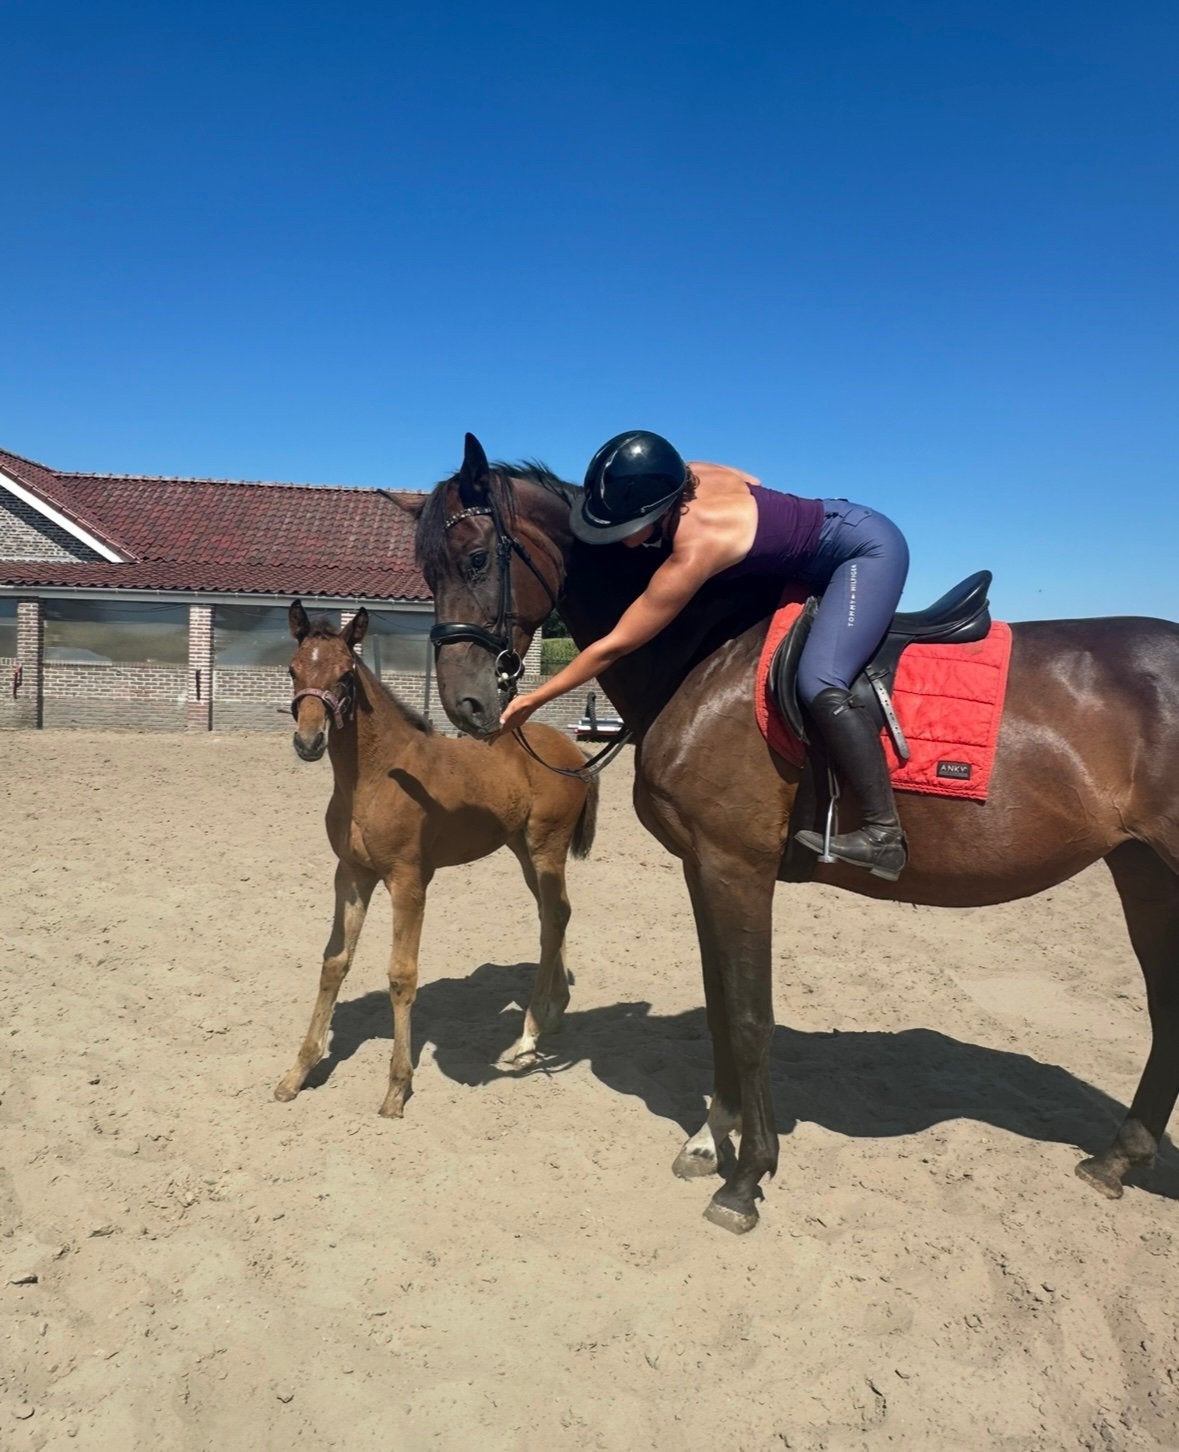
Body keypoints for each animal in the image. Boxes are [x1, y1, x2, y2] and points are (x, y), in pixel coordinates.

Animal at [273, 600, 598, 1118]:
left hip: (546, 847)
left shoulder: (408, 880)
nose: (309, 742)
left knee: (554, 918)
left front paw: (396, 1088)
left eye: (345, 676)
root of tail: (572, 751)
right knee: (556, 914)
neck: (375, 776)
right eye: (293, 669)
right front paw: (297, 1074)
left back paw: (528, 1039)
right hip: (522, 851)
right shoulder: (352, 873)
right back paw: (552, 1014)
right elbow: (334, 961)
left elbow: (402, 975)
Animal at [405, 432, 1179, 1233]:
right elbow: (719, 1005)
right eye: (426, 570)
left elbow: (750, 1017)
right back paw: (1115, 1160)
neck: (706, 651)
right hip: (1144, 873)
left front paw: (747, 1177)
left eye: (474, 559)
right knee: (1167, 1014)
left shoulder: (736, 866)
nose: (467, 705)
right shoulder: (704, 867)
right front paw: (710, 1139)